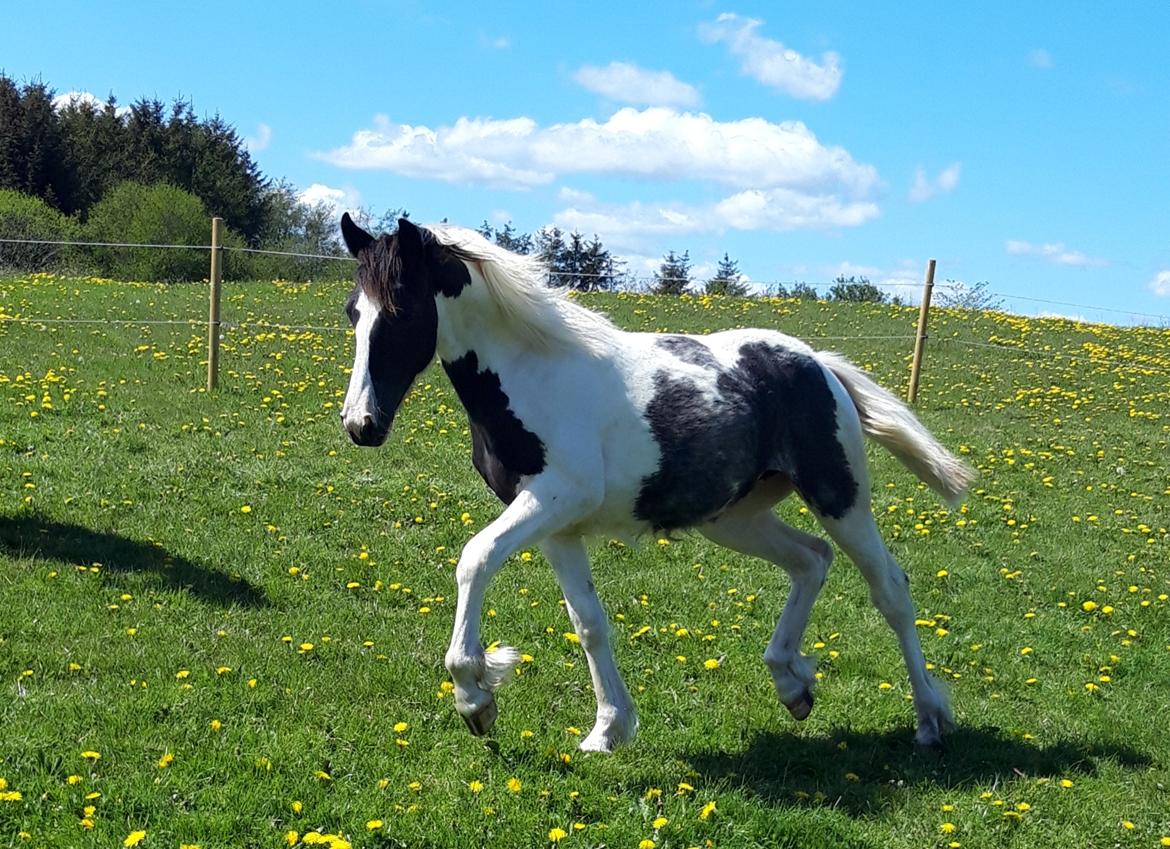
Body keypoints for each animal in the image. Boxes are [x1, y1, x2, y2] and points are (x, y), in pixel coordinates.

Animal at [341, 211, 978, 753]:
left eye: (400, 310)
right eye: (353, 311)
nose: (360, 425)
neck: (534, 375)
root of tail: (819, 363)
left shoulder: (556, 498)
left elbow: (474, 558)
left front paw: (475, 697)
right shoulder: (555, 525)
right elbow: (589, 622)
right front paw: (607, 730)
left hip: (839, 496)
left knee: (890, 588)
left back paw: (930, 719)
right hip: (735, 518)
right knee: (810, 560)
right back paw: (793, 685)